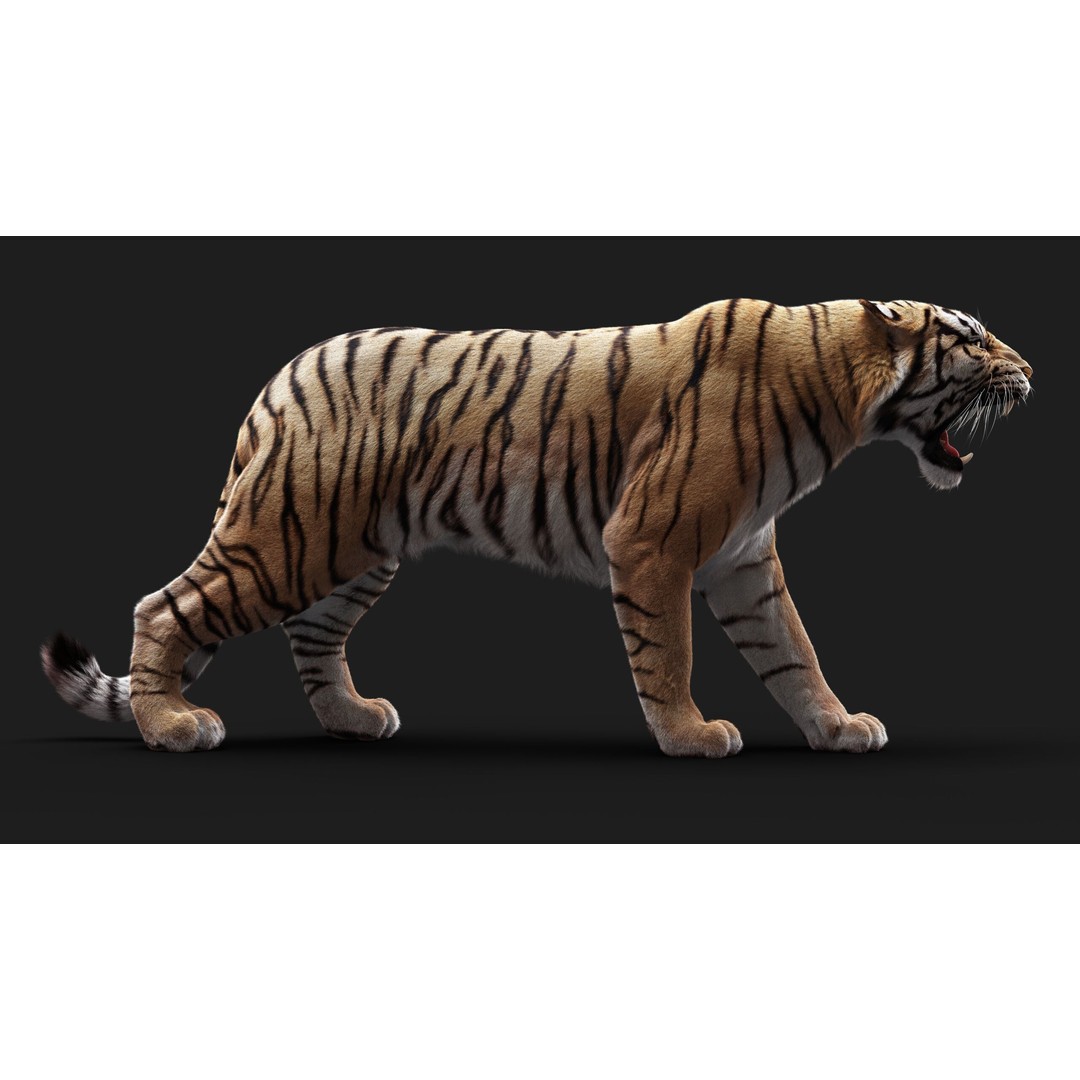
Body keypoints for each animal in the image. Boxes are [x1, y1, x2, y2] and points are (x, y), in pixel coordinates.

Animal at [40, 298, 1032, 755]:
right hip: (291, 535)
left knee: (311, 640)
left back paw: (356, 718)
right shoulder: (653, 542)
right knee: (164, 607)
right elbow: (668, 653)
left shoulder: (745, 560)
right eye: (972, 339)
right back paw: (173, 724)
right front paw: (690, 735)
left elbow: (796, 653)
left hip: (355, 552)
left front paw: (838, 726)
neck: (836, 396)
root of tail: (277, 381)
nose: (1029, 371)